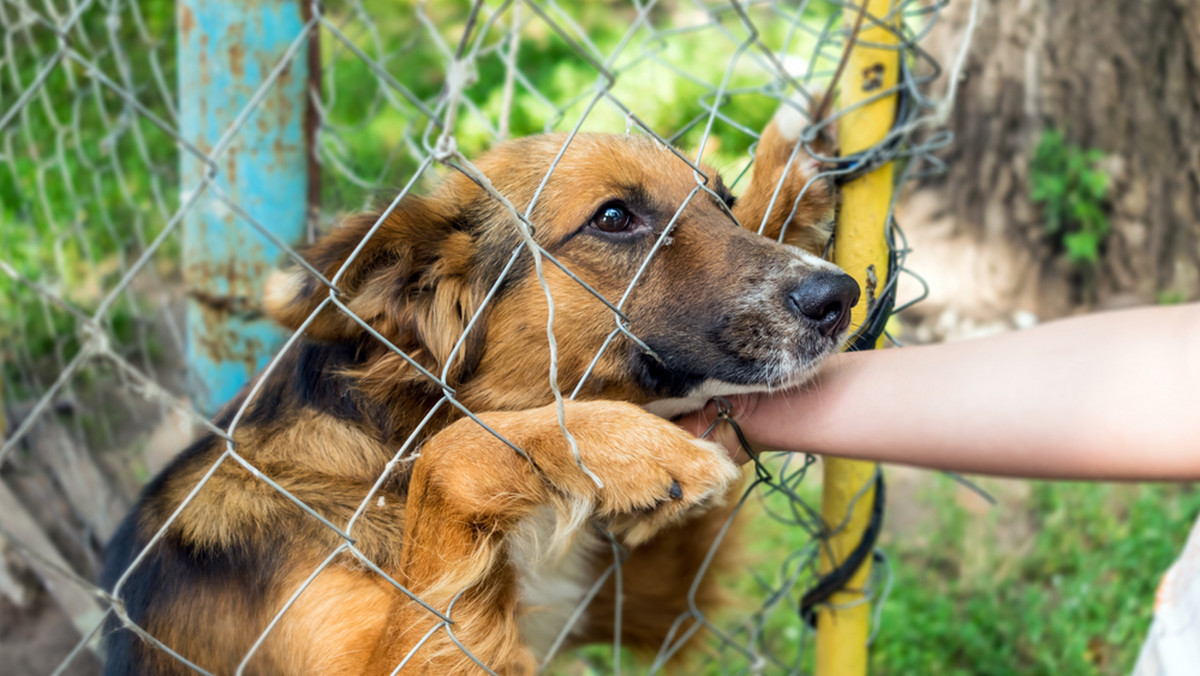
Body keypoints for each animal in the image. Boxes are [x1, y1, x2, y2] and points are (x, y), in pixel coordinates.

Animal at [100, 106, 854, 676]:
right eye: (614, 218)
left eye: (721, 202)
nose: (839, 297)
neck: (389, 439)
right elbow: (455, 452)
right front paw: (618, 446)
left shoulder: (642, 606)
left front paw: (790, 167)